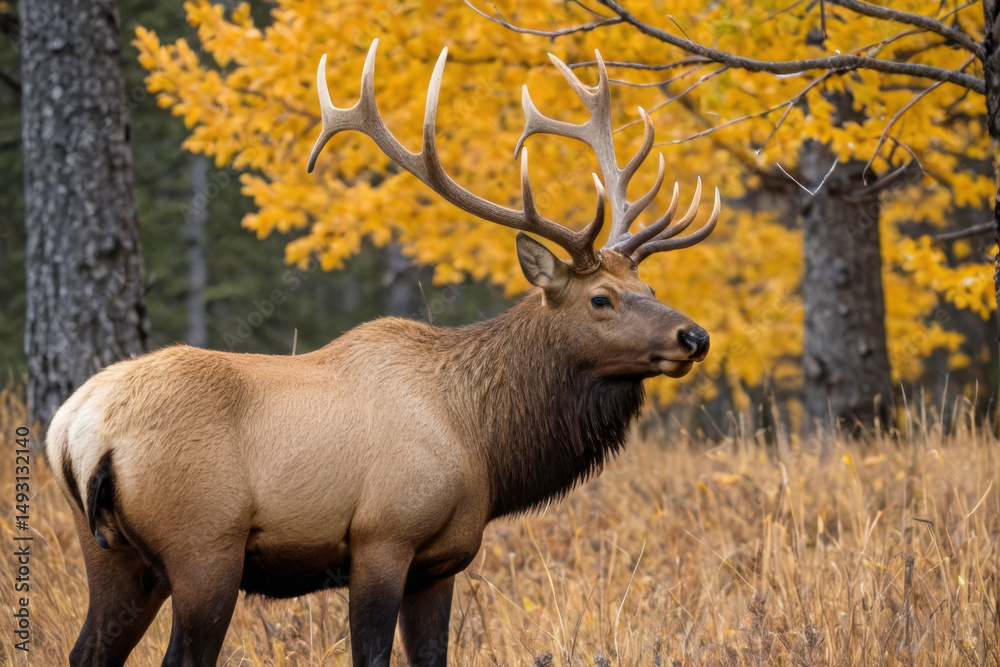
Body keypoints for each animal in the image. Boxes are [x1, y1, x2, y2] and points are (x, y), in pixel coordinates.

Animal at [45, 39, 719, 667]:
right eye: (602, 298)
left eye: (649, 290)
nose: (695, 336)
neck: (483, 443)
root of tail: (76, 429)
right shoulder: (381, 538)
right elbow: (370, 651)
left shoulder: (440, 562)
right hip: (204, 546)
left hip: (113, 552)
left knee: (88, 651)